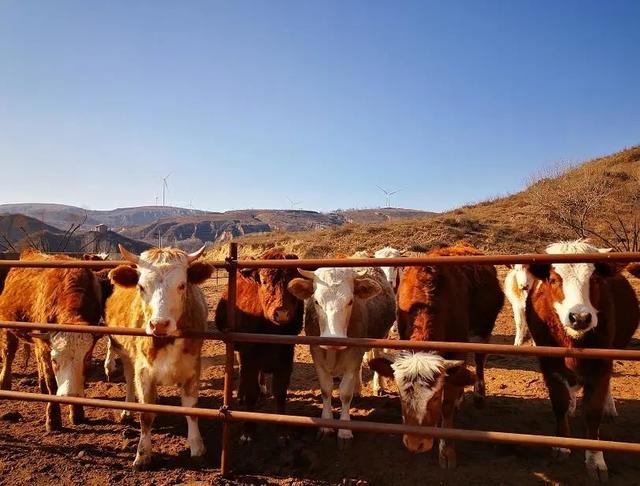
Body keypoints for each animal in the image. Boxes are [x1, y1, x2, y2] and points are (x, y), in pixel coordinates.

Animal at [0, 252, 104, 430]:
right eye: (55, 360)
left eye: (87, 359)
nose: (69, 395)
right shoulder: (46, 348)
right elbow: (52, 382)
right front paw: (53, 419)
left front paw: (77, 412)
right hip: (9, 327)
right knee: (9, 354)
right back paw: (5, 384)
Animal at [105, 245, 212, 468]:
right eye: (141, 286)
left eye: (182, 285)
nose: (159, 324)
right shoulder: (143, 371)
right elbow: (146, 414)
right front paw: (143, 454)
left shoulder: (192, 369)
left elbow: (191, 409)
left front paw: (197, 448)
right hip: (124, 352)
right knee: (129, 379)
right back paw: (128, 408)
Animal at [215, 249, 304, 442]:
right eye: (263, 281)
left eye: (293, 282)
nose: (281, 313)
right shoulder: (249, 355)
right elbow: (251, 392)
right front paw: (248, 430)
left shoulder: (287, 355)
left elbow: (280, 391)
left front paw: (283, 431)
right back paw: (240, 395)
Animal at [288, 260, 396, 446]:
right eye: (316, 301)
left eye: (350, 301)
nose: (333, 339)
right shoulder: (317, 355)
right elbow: (326, 389)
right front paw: (326, 426)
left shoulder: (353, 356)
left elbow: (345, 393)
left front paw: (344, 431)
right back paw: (358, 389)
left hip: (382, 336)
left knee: (376, 358)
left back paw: (378, 386)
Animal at [524, 241, 636, 480]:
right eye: (553, 279)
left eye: (594, 279)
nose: (580, 318)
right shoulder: (549, 364)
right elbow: (559, 402)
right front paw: (562, 445)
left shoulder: (602, 364)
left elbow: (593, 410)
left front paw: (595, 458)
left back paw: (609, 407)